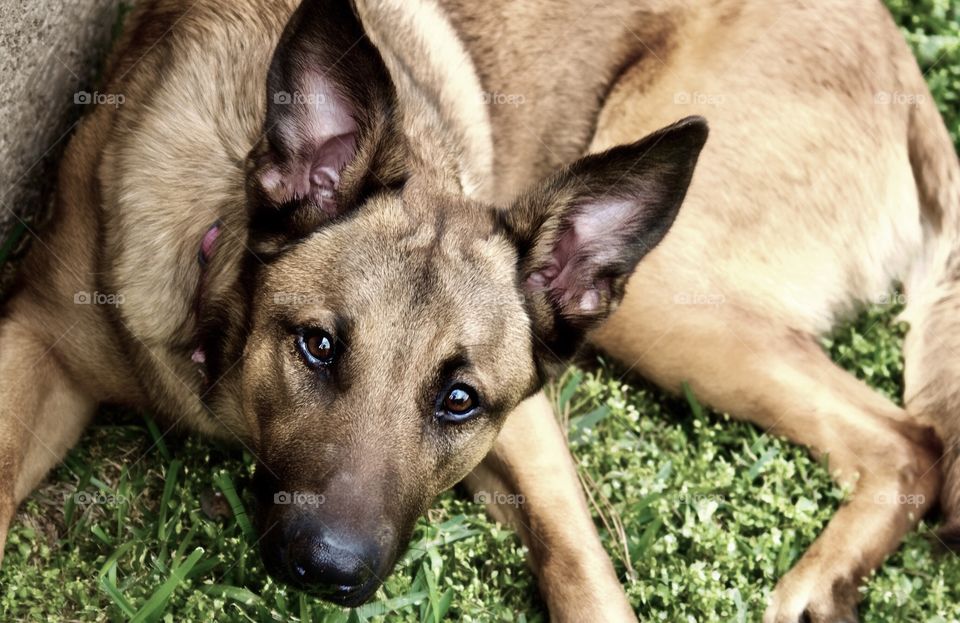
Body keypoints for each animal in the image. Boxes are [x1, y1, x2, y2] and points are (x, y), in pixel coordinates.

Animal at [0, 1, 956, 623]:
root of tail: (904, 66)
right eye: (317, 345)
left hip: (665, 300)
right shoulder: (37, 340)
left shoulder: (524, 419)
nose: (327, 569)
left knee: (909, 440)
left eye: (458, 399)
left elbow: (580, 568)